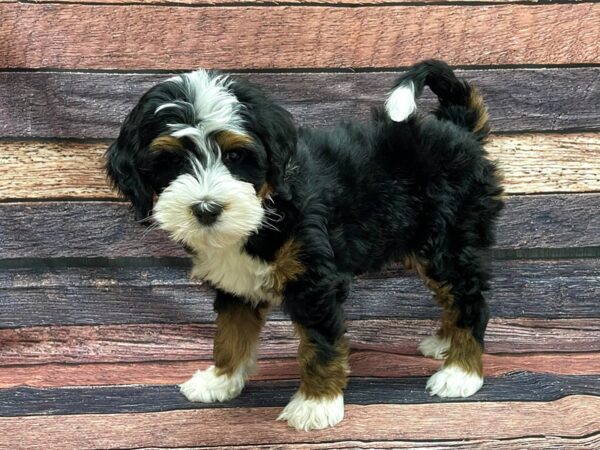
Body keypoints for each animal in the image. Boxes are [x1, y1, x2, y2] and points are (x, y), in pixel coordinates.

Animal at [105, 59, 504, 428]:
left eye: (235, 156)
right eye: (171, 161)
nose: (206, 209)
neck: (268, 207)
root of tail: (456, 126)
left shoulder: (314, 281)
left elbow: (319, 344)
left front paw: (317, 403)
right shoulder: (235, 285)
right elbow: (230, 333)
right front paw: (221, 379)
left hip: (448, 241)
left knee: (469, 299)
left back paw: (460, 372)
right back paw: (445, 344)